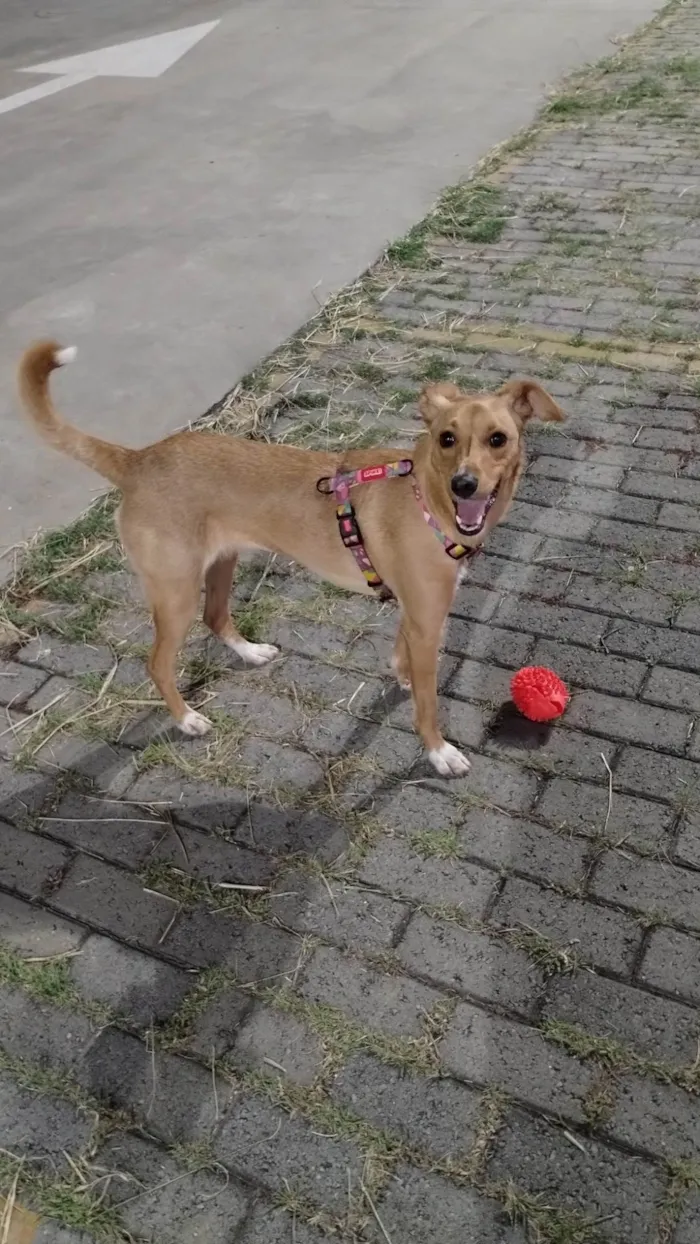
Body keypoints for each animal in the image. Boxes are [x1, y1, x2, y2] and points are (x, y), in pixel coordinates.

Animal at [17, 340, 564, 776]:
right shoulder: (429, 620)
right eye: (447, 439)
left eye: (498, 439)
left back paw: (250, 653)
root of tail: (138, 459)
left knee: (217, 617)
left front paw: (402, 675)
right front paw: (437, 751)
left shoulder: (415, 614)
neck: (425, 497)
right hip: (175, 593)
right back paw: (187, 718)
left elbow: (403, 657)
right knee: (157, 662)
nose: (465, 485)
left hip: (221, 565)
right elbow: (429, 704)